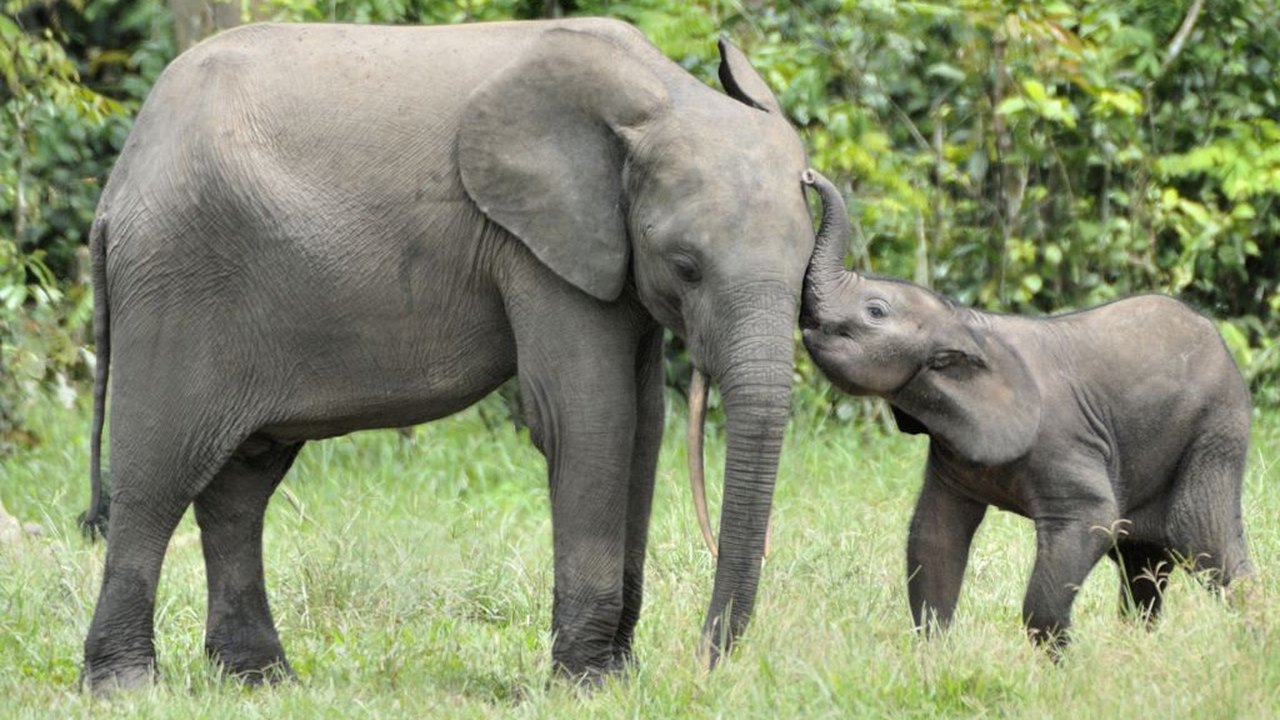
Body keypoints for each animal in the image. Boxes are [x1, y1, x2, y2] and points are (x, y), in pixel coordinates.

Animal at [80, 19, 817, 691]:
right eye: (687, 266)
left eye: (808, 262)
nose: (703, 663)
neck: (662, 95)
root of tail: (117, 188)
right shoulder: (535, 245)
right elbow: (588, 418)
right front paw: (586, 684)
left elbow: (643, 427)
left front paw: (616, 677)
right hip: (177, 279)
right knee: (157, 477)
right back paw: (126, 685)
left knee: (240, 486)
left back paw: (260, 680)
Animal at [798, 171, 1253, 650]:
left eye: (875, 310)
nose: (809, 177)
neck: (967, 322)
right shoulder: (953, 450)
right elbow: (934, 534)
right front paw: (933, 654)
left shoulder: (1063, 443)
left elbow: (1092, 519)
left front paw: (1063, 660)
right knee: (1141, 561)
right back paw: (1136, 649)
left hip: (1215, 431)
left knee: (1205, 544)